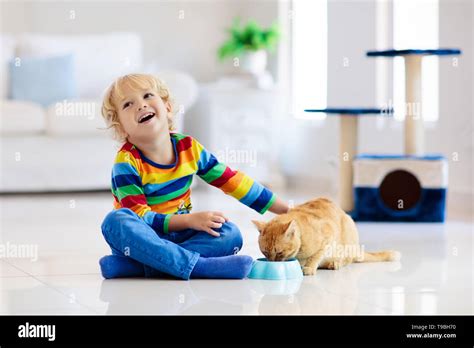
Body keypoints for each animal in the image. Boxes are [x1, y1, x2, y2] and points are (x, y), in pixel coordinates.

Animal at [252, 197, 400, 276]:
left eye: (279, 252)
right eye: (265, 252)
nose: (272, 263)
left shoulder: (328, 236)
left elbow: (315, 256)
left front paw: (309, 267)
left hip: (348, 233)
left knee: (347, 260)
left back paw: (335, 263)